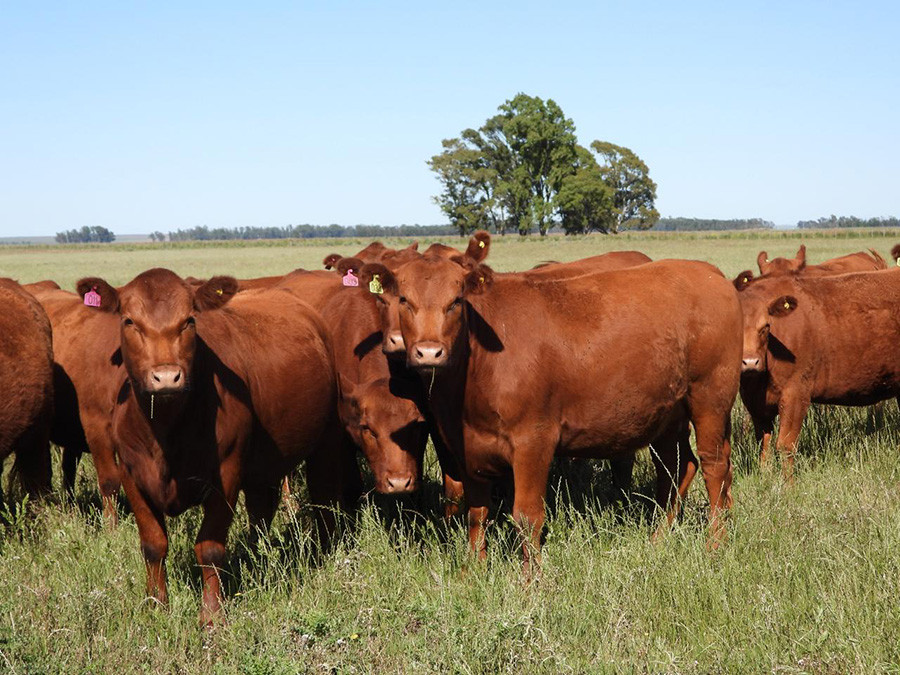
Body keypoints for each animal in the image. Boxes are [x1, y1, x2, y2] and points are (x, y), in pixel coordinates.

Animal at [77, 268, 354, 624]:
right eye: (129, 321)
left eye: (189, 320)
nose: (166, 377)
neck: (166, 432)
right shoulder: (131, 474)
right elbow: (153, 544)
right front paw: (156, 606)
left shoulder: (226, 473)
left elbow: (209, 548)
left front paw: (211, 616)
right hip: (263, 465)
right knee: (261, 512)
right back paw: (255, 554)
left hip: (327, 440)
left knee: (323, 498)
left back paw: (323, 548)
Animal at [356, 252, 740, 564]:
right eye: (403, 300)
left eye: (456, 302)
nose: (429, 352)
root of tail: (707, 272)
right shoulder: (468, 448)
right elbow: (476, 513)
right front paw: (473, 571)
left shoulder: (533, 441)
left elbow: (527, 517)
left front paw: (532, 585)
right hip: (664, 413)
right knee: (677, 468)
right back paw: (658, 538)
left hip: (710, 397)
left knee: (714, 466)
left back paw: (715, 544)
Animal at [736, 264, 900, 480]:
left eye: (766, 326)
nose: (750, 362)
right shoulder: (756, 404)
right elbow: (763, 445)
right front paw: (765, 477)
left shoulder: (796, 393)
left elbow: (785, 445)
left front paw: (788, 484)